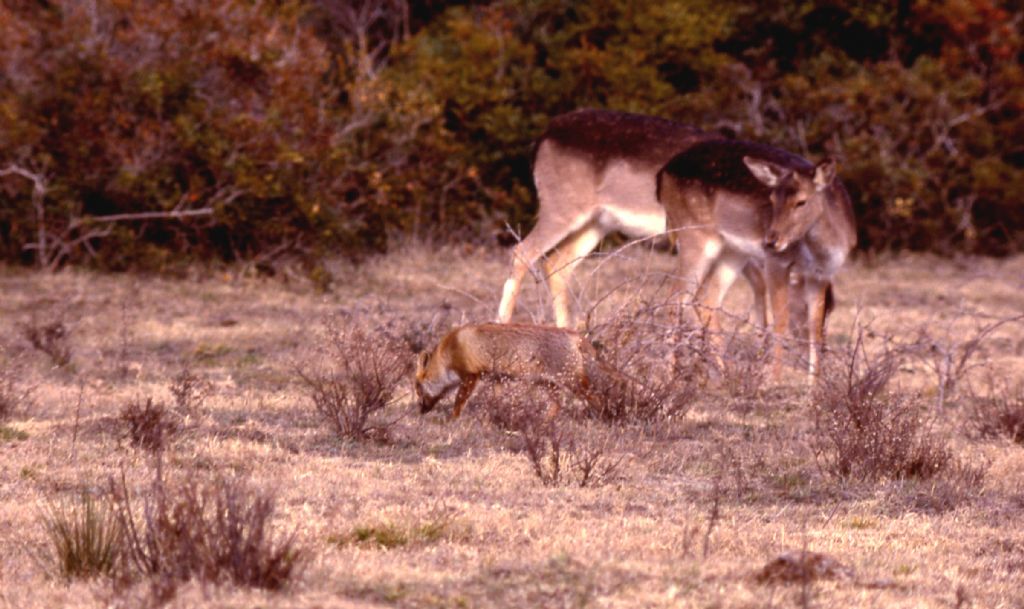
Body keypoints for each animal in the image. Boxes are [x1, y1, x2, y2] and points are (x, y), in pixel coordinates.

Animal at [413, 323, 598, 419]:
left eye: (418, 390)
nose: (420, 412)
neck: (449, 352)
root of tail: (573, 334)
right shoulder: (497, 378)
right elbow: (495, 403)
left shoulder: (470, 376)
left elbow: (458, 402)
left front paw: (453, 421)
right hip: (547, 384)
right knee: (557, 405)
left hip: (573, 383)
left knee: (596, 398)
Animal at [655, 139, 856, 376]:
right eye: (772, 198)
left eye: (801, 202)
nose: (770, 241)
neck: (824, 251)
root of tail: (662, 174)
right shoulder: (776, 262)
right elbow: (780, 321)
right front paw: (774, 379)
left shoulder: (820, 275)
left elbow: (813, 329)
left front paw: (813, 383)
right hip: (695, 237)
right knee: (675, 298)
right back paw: (670, 375)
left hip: (733, 251)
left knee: (705, 299)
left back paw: (725, 374)